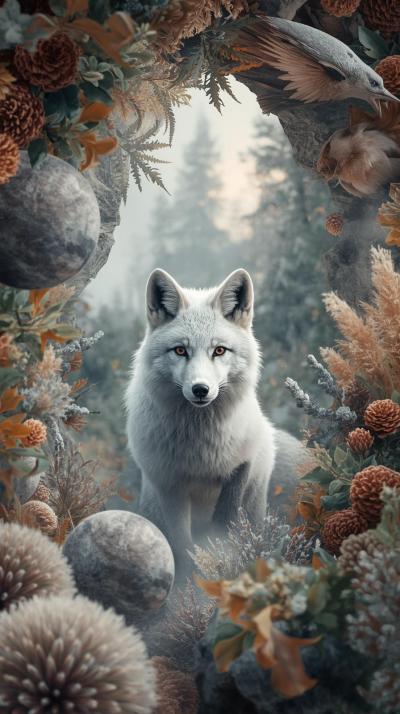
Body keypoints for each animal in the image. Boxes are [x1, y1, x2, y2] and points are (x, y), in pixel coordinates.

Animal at [125, 268, 304, 576]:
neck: (201, 447)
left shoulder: (239, 468)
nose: (200, 390)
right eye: (180, 351)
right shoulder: (169, 482)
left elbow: (226, 526)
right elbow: (182, 546)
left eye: (219, 351)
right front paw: (190, 577)